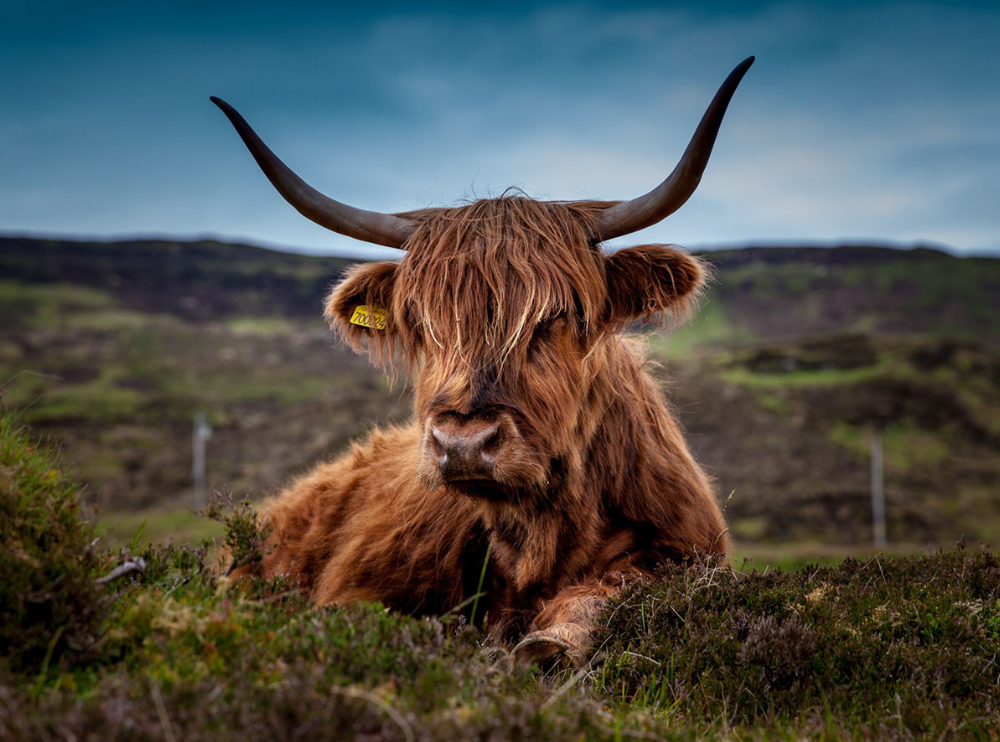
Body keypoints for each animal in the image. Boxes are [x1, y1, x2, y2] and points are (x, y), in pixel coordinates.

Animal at [215, 56, 752, 664]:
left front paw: (549, 641)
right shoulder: (358, 593)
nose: (463, 444)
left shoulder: (685, 553)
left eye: (559, 315)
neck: (539, 539)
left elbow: (610, 590)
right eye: (421, 321)